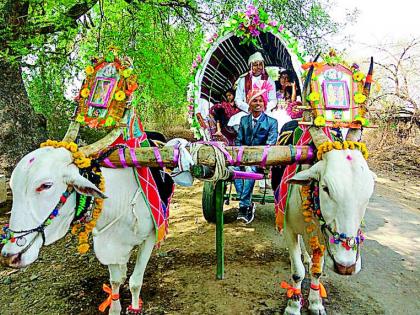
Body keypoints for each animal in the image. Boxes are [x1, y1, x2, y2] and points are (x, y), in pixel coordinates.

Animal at [0, 147, 162, 314]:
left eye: (46, 185)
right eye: (12, 187)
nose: (9, 257)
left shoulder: (150, 236)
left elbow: (135, 282)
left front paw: (135, 307)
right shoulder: (108, 245)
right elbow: (115, 281)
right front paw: (114, 308)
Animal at [284, 138, 376, 314]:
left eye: (368, 193)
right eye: (325, 188)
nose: (345, 267)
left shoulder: (322, 238)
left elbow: (317, 272)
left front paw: (315, 303)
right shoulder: (289, 229)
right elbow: (297, 273)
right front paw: (293, 307)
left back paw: (307, 258)